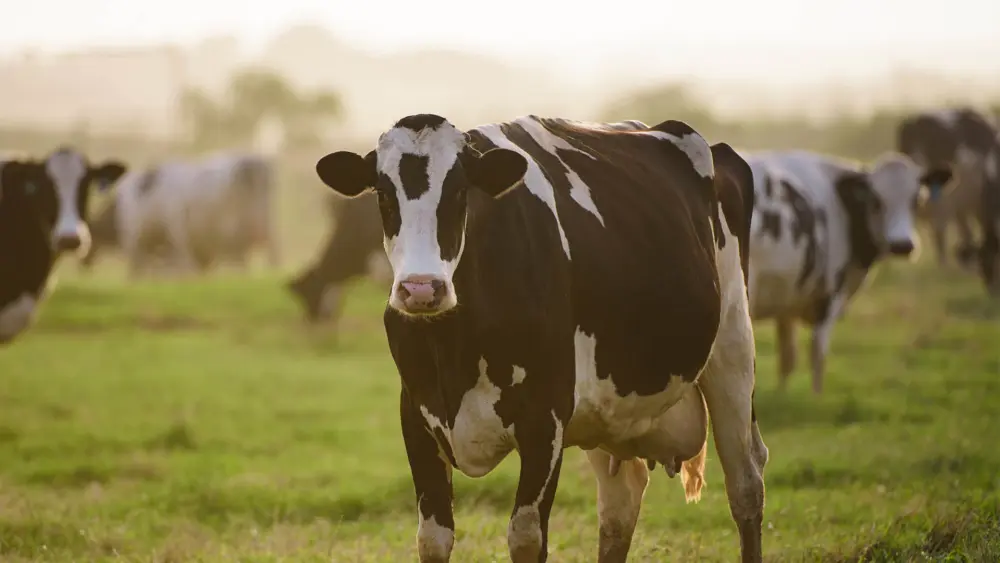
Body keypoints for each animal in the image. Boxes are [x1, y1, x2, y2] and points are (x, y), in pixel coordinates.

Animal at [81, 151, 280, 277]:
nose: (84, 262)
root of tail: (251, 164)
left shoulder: (138, 246)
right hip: (264, 227)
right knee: (269, 256)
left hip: (234, 233)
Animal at [314, 114, 768, 562]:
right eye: (383, 195)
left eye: (460, 192)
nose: (422, 289)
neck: (454, 349)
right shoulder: (416, 416)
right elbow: (433, 540)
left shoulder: (545, 419)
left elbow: (526, 538)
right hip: (607, 407)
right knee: (620, 506)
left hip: (733, 349)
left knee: (746, 484)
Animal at [745, 150, 952, 394]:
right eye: (876, 201)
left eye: (917, 199)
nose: (902, 245)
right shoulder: (830, 294)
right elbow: (818, 354)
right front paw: (816, 397)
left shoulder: (786, 299)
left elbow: (787, 358)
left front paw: (782, 394)